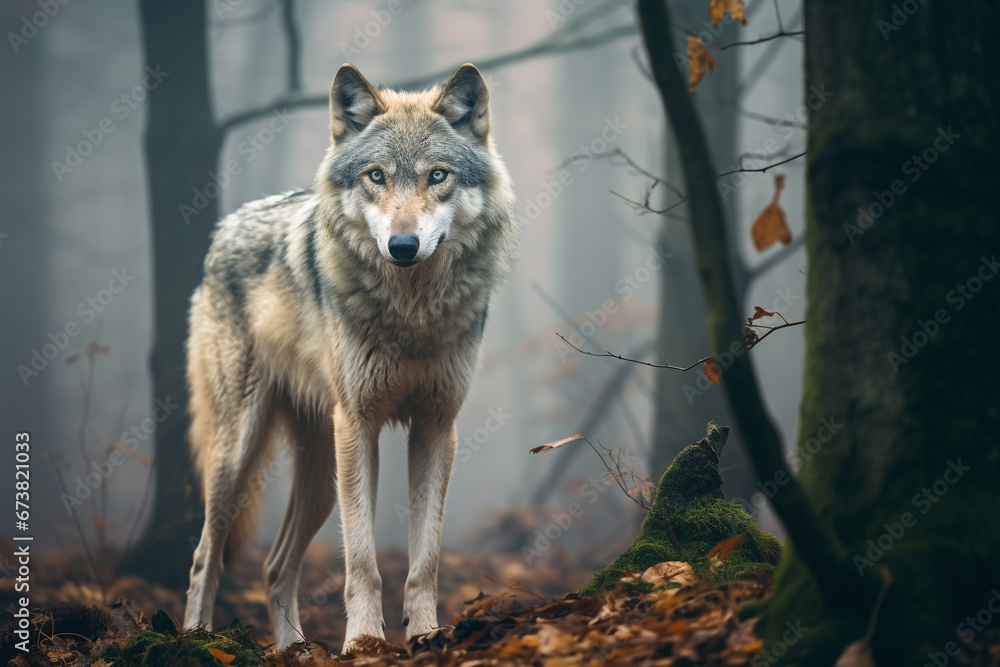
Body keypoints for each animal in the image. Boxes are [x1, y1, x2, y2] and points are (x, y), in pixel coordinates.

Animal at [182, 63, 516, 654]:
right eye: (376, 176)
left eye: (437, 176)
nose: (402, 245)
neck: (412, 313)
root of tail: (224, 228)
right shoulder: (359, 425)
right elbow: (362, 561)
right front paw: (363, 643)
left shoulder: (436, 427)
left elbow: (424, 560)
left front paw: (426, 636)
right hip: (240, 452)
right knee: (206, 554)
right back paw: (197, 639)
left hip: (319, 477)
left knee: (274, 566)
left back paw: (294, 650)